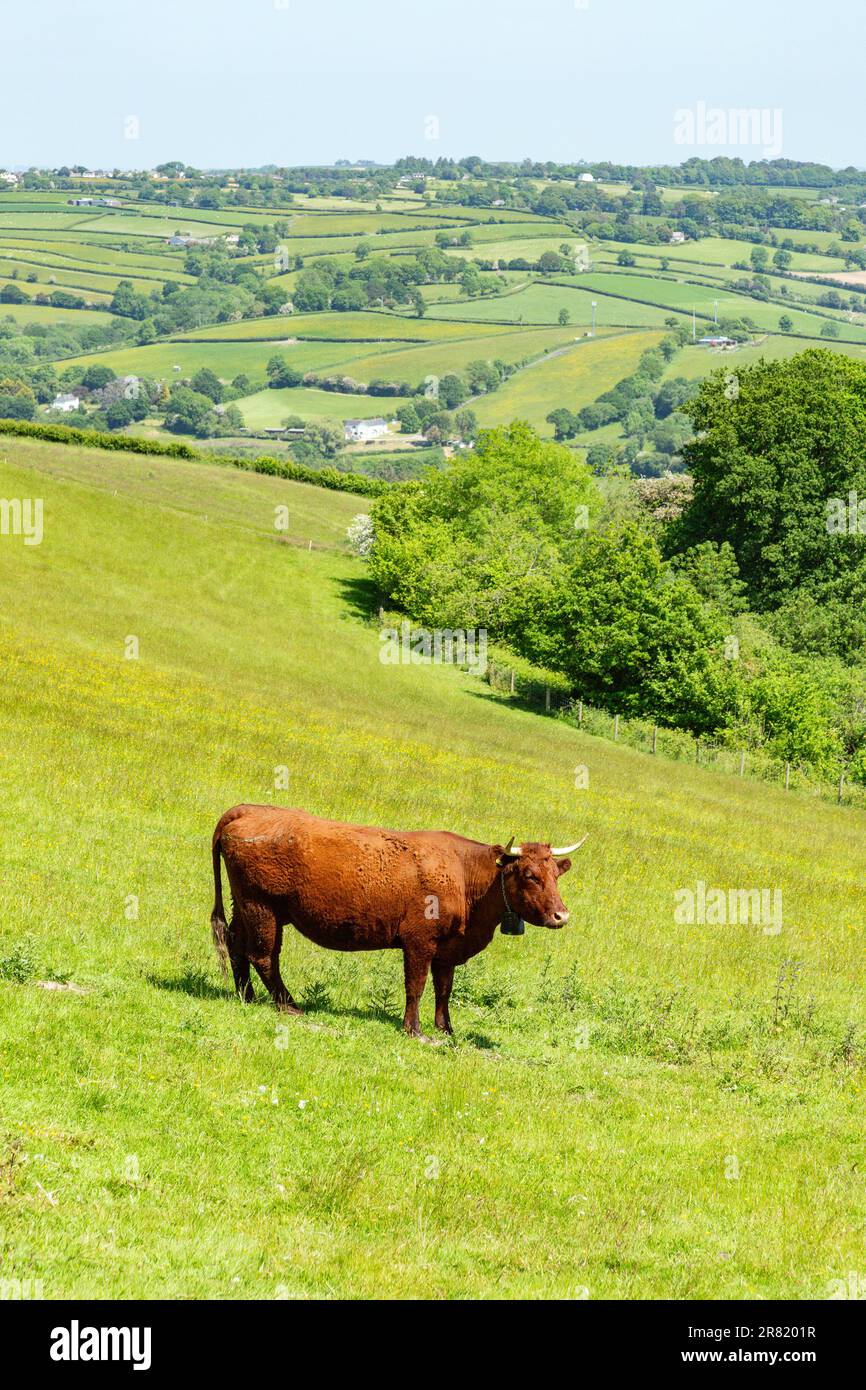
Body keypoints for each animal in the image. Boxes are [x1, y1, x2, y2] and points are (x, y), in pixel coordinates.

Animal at [210, 804, 586, 1040]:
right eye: (529, 875)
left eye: (556, 874)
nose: (562, 915)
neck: (465, 876)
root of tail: (247, 809)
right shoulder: (419, 941)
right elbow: (416, 985)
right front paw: (414, 1029)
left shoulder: (448, 948)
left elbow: (444, 988)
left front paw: (446, 1028)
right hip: (262, 907)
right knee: (264, 955)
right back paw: (289, 1005)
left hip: (245, 906)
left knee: (236, 945)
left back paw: (246, 996)